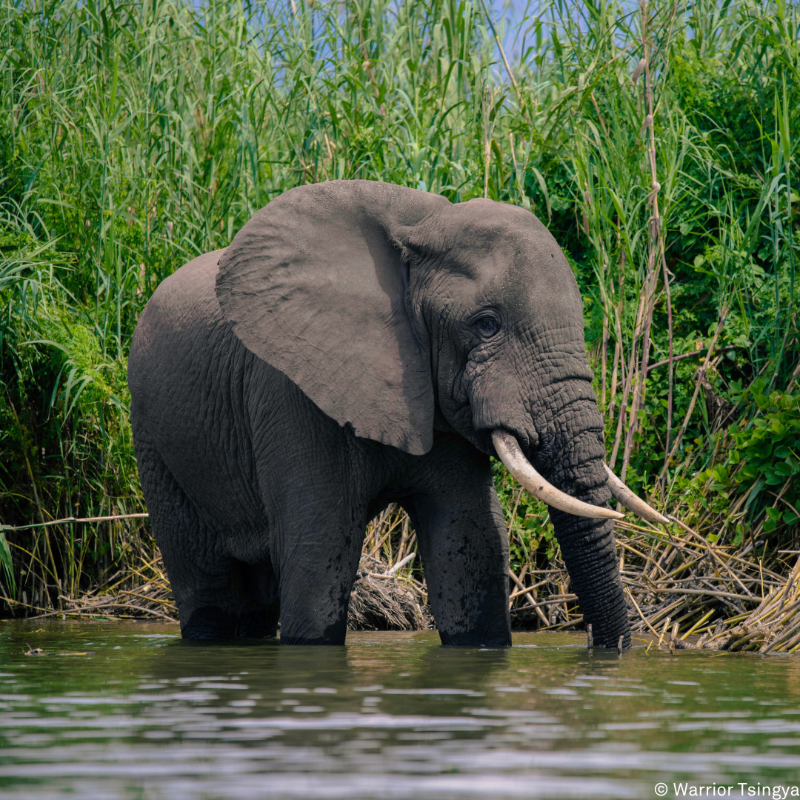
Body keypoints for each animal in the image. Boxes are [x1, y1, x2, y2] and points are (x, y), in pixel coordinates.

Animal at [128, 180, 665, 648]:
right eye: (486, 325)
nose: (606, 647)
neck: (422, 227)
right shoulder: (291, 395)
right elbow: (318, 553)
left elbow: (470, 542)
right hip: (155, 439)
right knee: (208, 589)